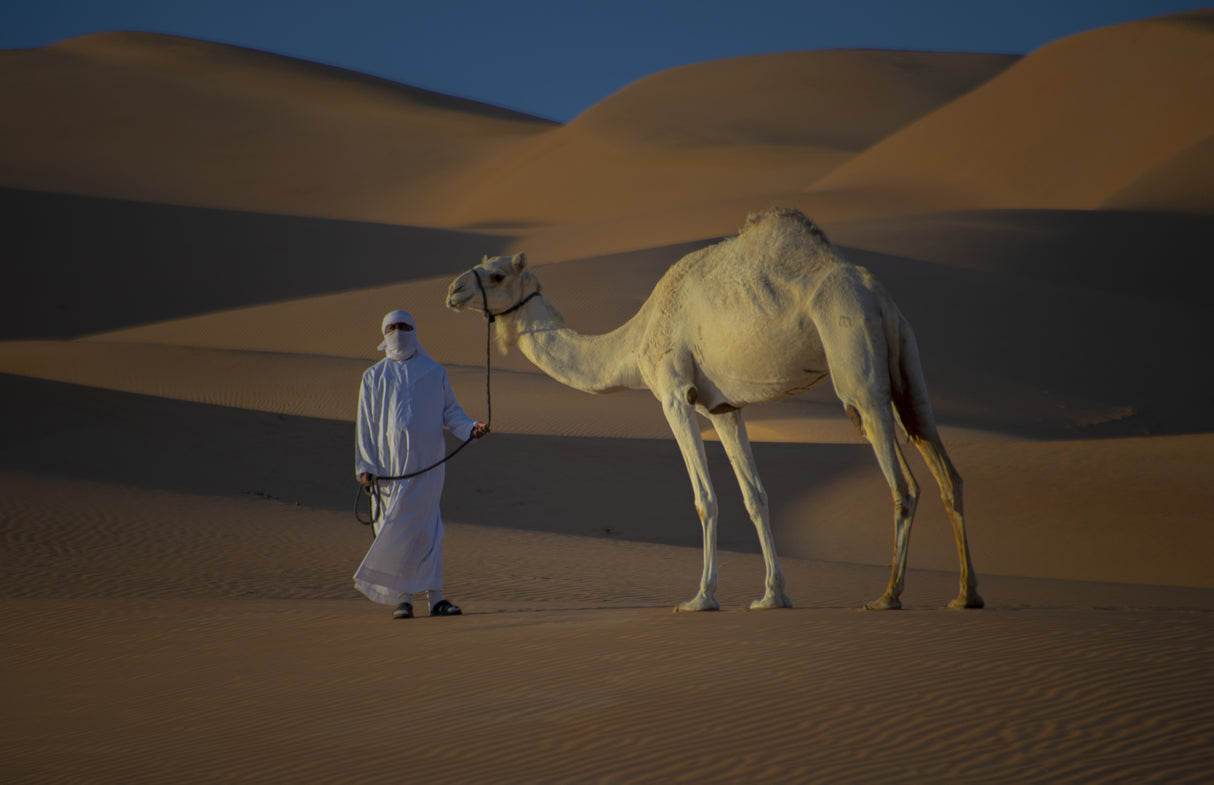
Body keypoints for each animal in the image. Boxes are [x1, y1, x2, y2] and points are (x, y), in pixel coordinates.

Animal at [445, 207, 982, 612]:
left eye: (496, 274)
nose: (452, 290)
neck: (635, 341)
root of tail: (877, 295)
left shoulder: (673, 394)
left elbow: (705, 498)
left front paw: (701, 597)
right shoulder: (724, 408)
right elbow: (756, 496)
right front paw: (772, 595)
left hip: (855, 360)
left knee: (902, 481)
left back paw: (889, 595)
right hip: (906, 358)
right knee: (945, 467)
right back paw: (966, 595)